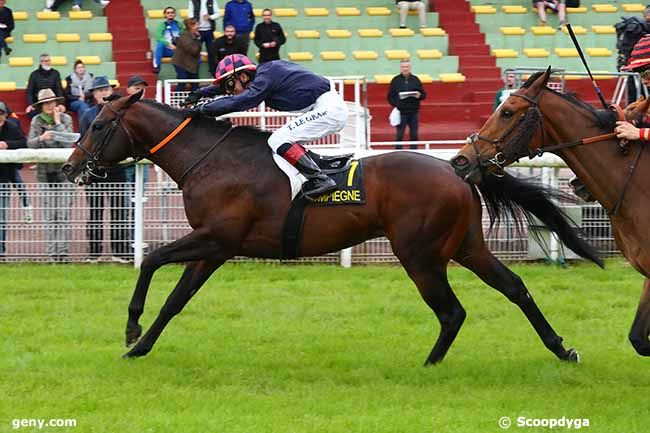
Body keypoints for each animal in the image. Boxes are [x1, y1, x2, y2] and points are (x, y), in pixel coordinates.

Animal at [60, 92, 596, 364]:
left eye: (99, 124)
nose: (69, 167)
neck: (210, 160)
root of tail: (459, 169)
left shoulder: (217, 236)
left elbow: (151, 259)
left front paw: (131, 327)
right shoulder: (215, 248)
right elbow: (176, 300)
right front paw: (141, 346)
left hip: (420, 254)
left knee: (452, 311)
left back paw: (429, 365)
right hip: (465, 246)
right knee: (514, 287)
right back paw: (561, 348)